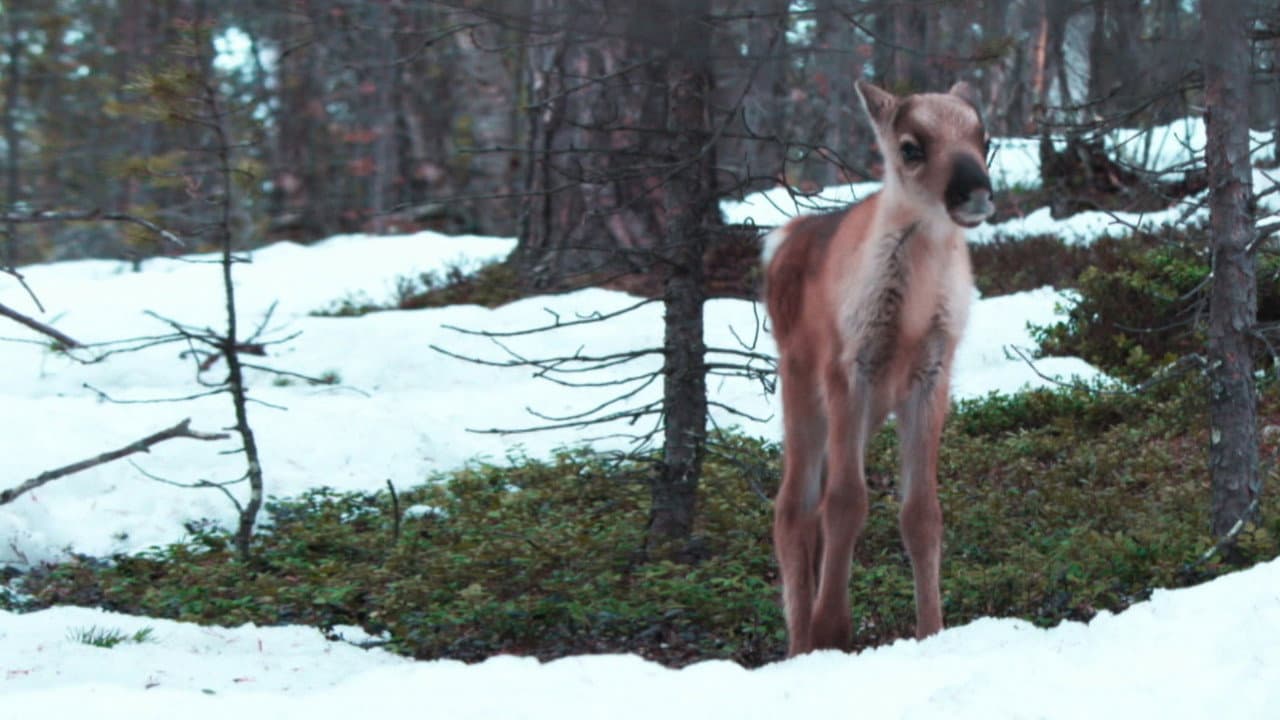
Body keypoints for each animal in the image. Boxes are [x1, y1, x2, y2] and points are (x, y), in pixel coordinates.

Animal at [762, 80, 994, 656]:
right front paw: (831, 630)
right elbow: (846, 501)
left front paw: (931, 629)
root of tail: (782, 239)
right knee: (795, 505)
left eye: (984, 138)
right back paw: (800, 642)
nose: (976, 192)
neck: (910, 315)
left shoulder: (933, 373)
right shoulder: (851, 368)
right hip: (801, 383)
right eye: (910, 147)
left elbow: (922, 513)